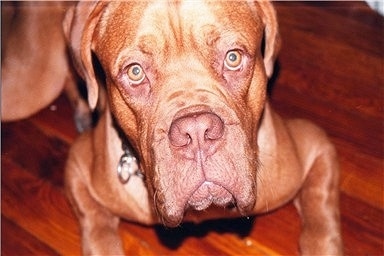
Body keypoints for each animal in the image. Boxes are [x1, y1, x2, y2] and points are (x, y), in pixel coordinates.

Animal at [0, 1, 342, 255]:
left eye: (233, 57)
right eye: (135, 72)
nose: (197, 131)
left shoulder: (316, 148)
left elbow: (320, 218)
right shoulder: (77, 169)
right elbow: (97, 228)